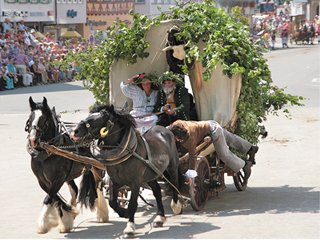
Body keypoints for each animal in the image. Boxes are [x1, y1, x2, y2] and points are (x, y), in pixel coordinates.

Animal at [26, 96, 109, 233]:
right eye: (30, 117)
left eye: (44, 118)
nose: (32, 140)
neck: (45, 152)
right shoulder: (42, 181)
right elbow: (55, 198)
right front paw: (68, 216)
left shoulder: (58, 178)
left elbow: (49, 198)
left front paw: (43, 223)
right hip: (70, 174)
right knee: (75, 189)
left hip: (96, 167)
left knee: (99, 186)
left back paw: (102, 214)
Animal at [70, 105, 185, 238]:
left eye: (102, 116)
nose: (75, 131)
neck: (127, 151)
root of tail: (164, 129)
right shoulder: (114, 180)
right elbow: (112, 201)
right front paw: (123, 213)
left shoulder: (135, 182)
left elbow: (132, 205)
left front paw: (130, 228)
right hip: (150, 175)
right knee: (157, 191)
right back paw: (159, 218)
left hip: (172, 166)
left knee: (174, 183)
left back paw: (176, 205)